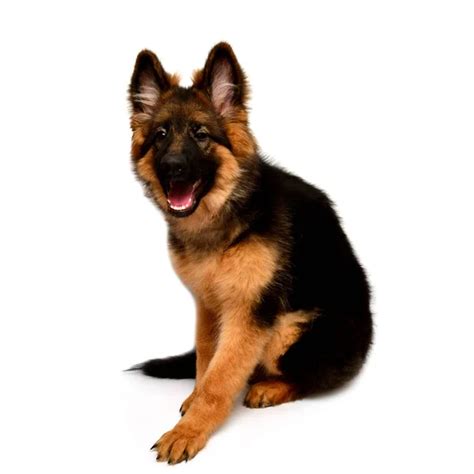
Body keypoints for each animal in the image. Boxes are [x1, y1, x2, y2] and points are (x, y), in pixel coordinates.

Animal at [127, 41, 374, 462]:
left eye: (201, 134)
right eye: (160, 134)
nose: (173, 168)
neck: (224, 217)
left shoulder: (248, 313)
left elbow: (221, 378)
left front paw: (190, 430)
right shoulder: (209, 306)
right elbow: (206, 359)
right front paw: (194, 399)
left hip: (288, 331)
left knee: (312, 377)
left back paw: (270, 387)